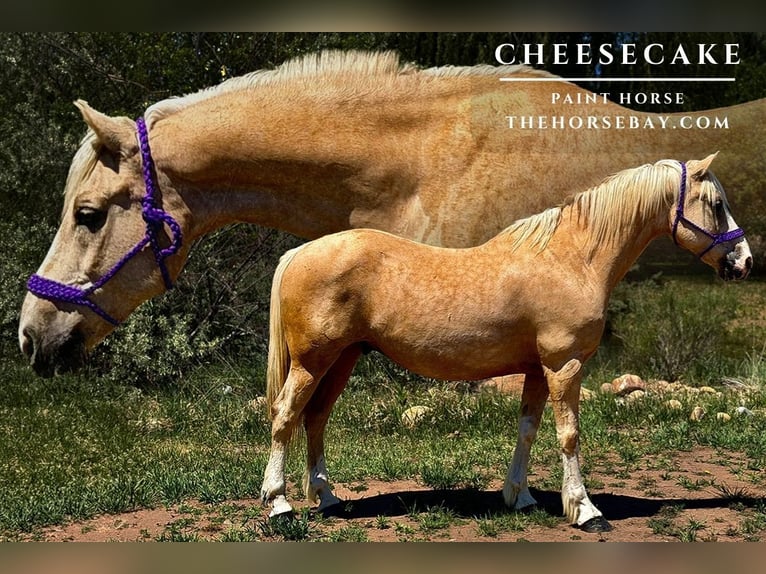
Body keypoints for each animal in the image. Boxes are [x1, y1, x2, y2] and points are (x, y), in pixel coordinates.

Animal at [259, 154, 751, 532]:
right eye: (716, 204)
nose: (745, 262)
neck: (573, 259)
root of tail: (300, 252)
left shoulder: (537, 369)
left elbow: (528, 429)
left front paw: (520, 497)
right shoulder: (564, 365)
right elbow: (569, 435)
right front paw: (586, 511)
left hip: (342, 359)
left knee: (315, 419)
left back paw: (327, 498)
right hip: (312, 361)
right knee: (285, 416)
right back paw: (280, 504)